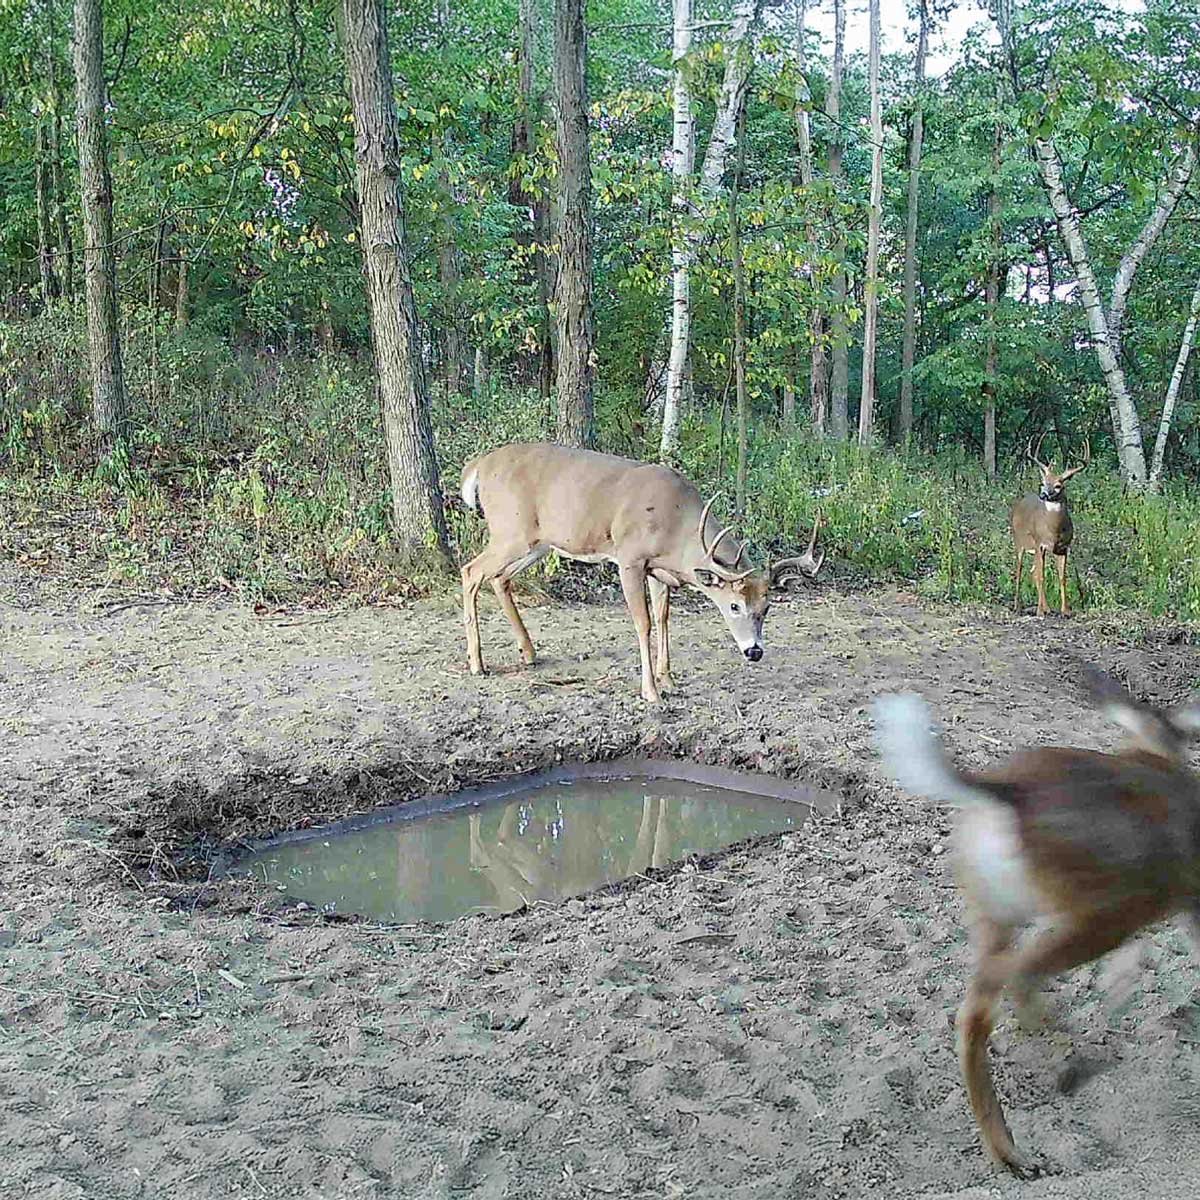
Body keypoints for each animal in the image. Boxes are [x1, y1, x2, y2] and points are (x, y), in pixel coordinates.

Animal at [459, 442, 824, 703]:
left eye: (767, 607)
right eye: (733, 605)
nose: (754, 651)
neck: (677, 529)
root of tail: (478, 465)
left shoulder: (658, 571)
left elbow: (663, 619)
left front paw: (669, 680)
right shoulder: (630, 558)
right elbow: (643, 622)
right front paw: (652, 693)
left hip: (538, 543)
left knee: (499, 578)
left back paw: (529, 653)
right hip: (511, 531)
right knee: (470, 571)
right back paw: (477, 664)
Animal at [873, 668, 1200, 1177]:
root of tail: (1008, 798)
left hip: (1000, 914)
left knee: (978, 1012)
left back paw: (1009, 1148)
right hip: (1106, 912)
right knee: (1010, 982)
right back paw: (1068, 1065)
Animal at [1010, 434, 1089, 617]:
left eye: (1058, 485)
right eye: (1043, 482)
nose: (1043, 495)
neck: (1054, 530)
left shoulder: (1063, 547)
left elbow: (1062, 577)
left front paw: (1065, 610)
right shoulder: (1040, 543)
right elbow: (1042, 576)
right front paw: (1040, 611)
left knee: (1033, 571)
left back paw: (1044, 607)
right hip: (1019, 542)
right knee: (1020, 571)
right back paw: (1018, 606)